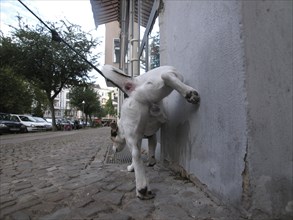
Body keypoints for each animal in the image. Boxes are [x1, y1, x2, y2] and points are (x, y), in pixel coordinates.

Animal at [101, 65, 200, 199]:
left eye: (112, 137)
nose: (114, 150)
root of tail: (135, 84)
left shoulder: (133, 138)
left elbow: (135, 156)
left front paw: (132, 167)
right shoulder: (151, 136)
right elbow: (151, 147)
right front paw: (151, 161)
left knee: (136, 155)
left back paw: (142, 187)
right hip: (156, 89)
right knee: (166, 77)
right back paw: (189, 93)